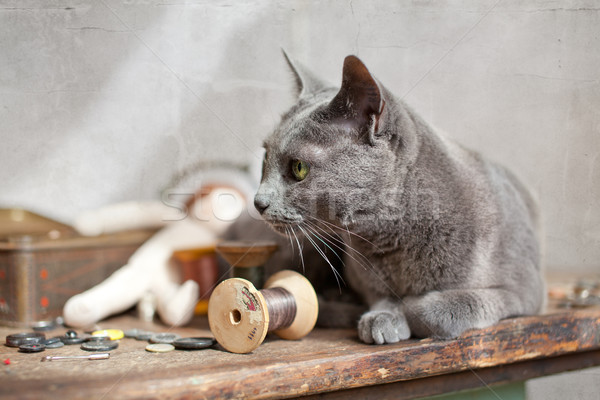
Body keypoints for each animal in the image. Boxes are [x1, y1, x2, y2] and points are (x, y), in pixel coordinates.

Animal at [236, 53, 548, 344]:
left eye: (299, 168)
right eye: (265, 159)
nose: (258, 202)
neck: (390, 242)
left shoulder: (525, 290)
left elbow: (449, 305)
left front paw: (410, 309)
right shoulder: (369, 281)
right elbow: (382, 297)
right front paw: (382, 317)